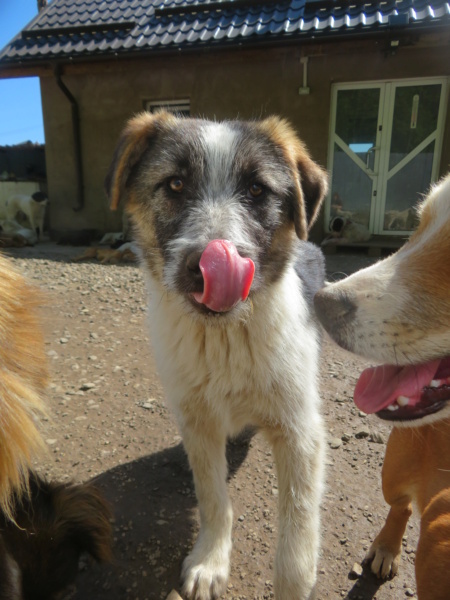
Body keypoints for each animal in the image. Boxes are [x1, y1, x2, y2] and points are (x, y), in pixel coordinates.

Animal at [107, 112, 328, 600]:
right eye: (174, 184)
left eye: (257, 190)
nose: (207, 265)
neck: (226, 336)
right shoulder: (198, 422)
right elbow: (213, 497)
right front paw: (210, 561)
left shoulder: (299, 430)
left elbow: (298, 524)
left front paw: (293, 582)